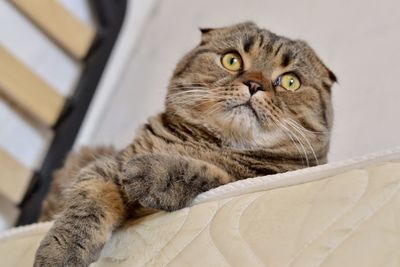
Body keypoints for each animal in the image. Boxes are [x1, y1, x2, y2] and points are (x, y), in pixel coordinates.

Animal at [34, 22, 336, 266]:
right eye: (232, 60)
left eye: (291, 81)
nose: (254, 84)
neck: (209, 144)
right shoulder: (108, 166)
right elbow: (85, 208)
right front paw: (60, 253)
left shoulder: (239, 179)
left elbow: (201, 171)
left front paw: (150, 172)